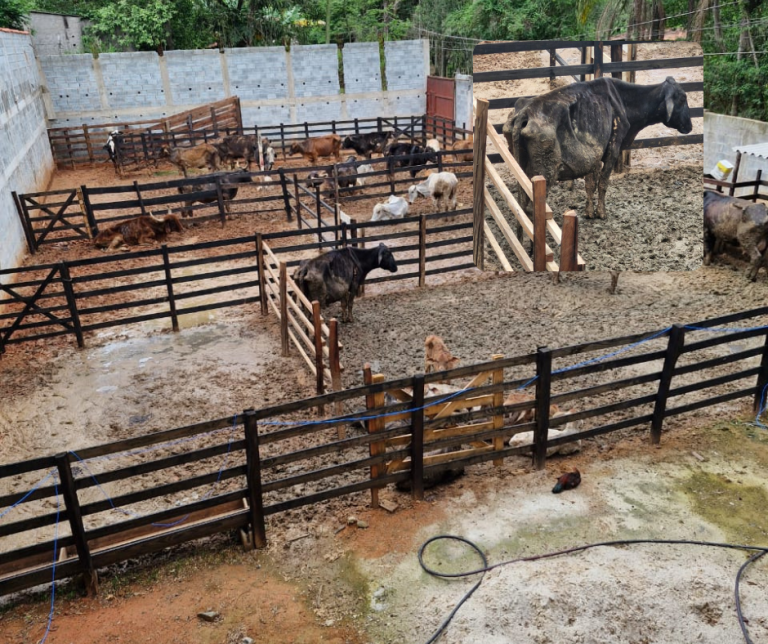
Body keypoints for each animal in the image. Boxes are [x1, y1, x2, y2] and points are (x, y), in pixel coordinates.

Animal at [500, 76, 692, 219]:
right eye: (682, 98)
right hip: (546, 171)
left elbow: (590, 183)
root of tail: (525, 112)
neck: (622, 100)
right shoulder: (613, 149)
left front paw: (589, 212)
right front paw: (601, 212)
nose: (690, 125)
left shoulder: (593, 156)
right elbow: (603, 182)